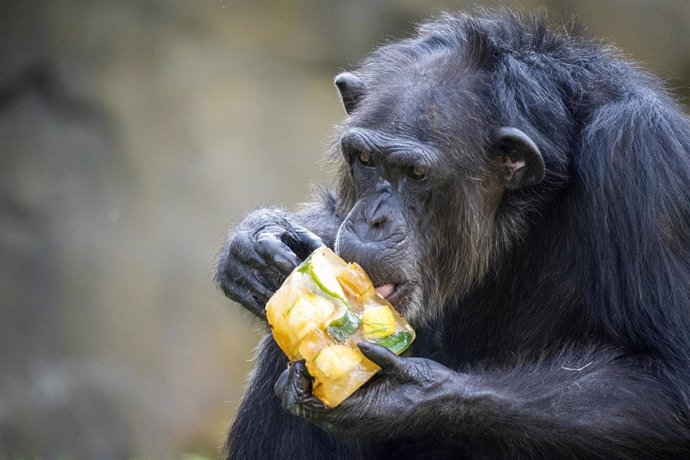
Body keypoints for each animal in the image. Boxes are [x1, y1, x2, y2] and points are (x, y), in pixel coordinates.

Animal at [215, 10, 688, 460]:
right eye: (365, 159)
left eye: (415, 173)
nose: (372, 220)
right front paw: (258, 242)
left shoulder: (641, 158)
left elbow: (669, 382)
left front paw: (412, 394)